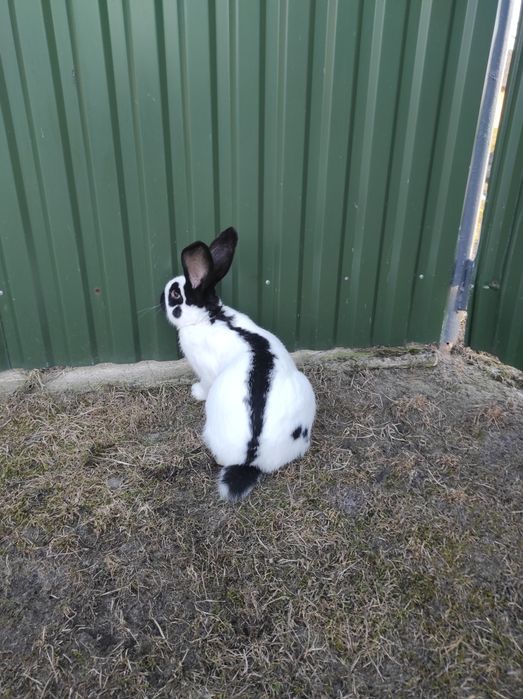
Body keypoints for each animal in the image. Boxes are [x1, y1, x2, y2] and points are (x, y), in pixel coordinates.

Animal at [160, 227, 316, 502]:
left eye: (175, 293)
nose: (160, 296)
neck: (208, 316)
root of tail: (250, 460)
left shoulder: (205, 372)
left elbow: (203, 384)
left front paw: (195, 392)